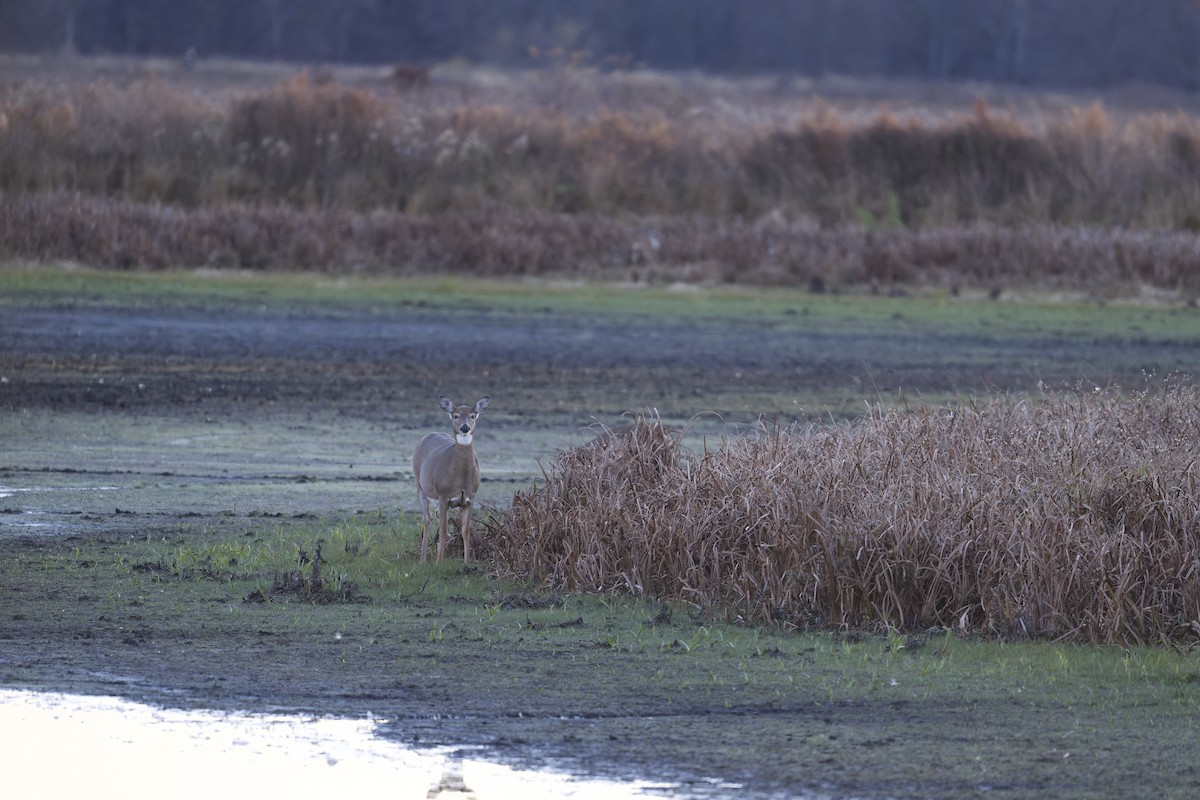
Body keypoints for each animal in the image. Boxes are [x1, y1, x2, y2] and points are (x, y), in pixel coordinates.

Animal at [413, 396, 490, 564]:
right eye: (455, 416)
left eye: (473, 415)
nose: (465, 428)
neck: (460, 478)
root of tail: (428, 435)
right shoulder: (443, 496)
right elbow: (443, 529)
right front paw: (438, 562)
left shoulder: (469, 498)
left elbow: (465, 530)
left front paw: (467, 562)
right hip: (420, 486)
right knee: (427, 519)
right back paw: (422, 560)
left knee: (433, 516)